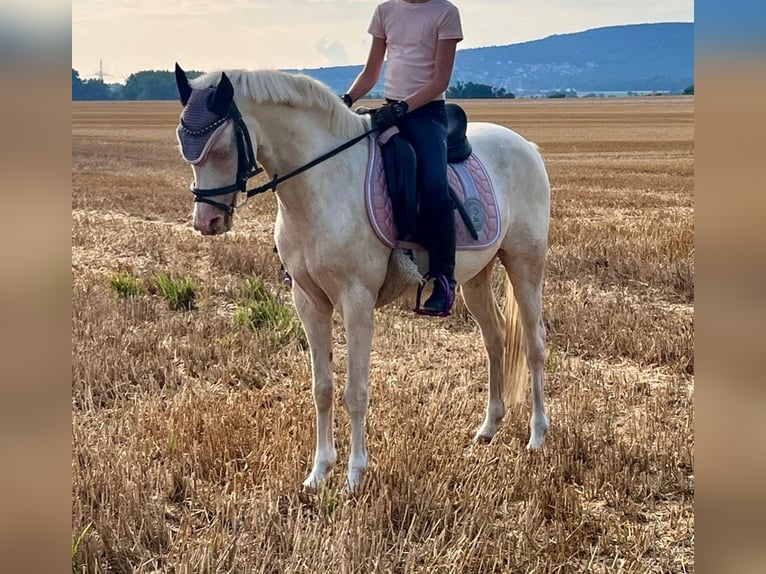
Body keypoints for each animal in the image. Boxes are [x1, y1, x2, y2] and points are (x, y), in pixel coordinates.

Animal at [173, 65, 548, 492]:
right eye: (184, 143)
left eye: (221, 148)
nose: (206, 222)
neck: (320, 184)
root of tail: (526, 146)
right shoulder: (309, 302)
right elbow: (322, 387)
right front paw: (318, 473)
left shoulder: (356, 301)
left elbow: (355, 391)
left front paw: (354, 475)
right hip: (475, 279)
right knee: (496, 339)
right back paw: (489, 428)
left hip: (525, 264)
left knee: (534, 345)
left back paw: (537, 435)